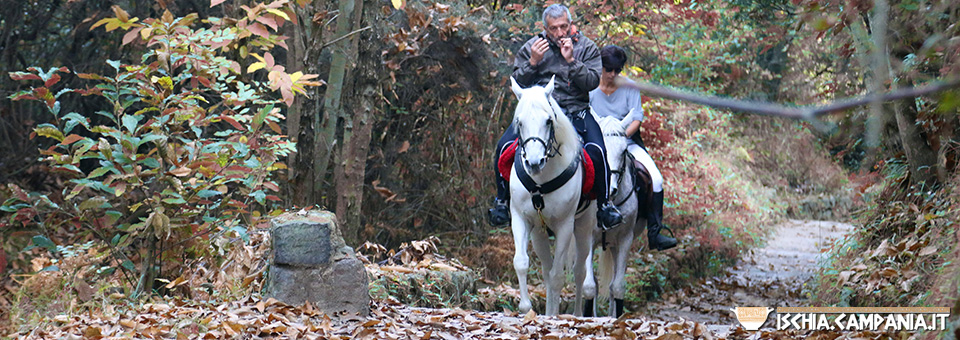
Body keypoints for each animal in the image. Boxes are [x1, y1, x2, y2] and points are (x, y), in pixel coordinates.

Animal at [510, 77, 592, 316]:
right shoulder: (521, 218)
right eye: (519, 122)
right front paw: (526, 308)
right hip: (539, 233)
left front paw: (554, 316)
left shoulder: (565, 225)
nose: (534, 163)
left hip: (584, 226)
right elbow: (521, 262)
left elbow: (558, 276)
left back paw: (576, 314)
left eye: (548, 121)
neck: (541, 181)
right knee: (547, 270)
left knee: (579, 271)